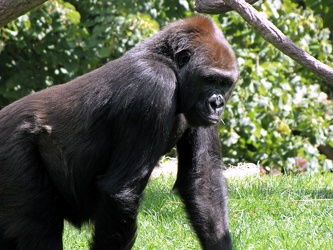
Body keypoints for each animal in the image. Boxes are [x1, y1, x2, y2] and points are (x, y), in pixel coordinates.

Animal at [0, 16, 239, 250]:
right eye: (209, 80)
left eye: (224, 83)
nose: (217, 104)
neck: (169, 64)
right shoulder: (153, 84)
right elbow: (121, 191)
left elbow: (203, 181)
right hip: (13, 150)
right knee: (41, 228)